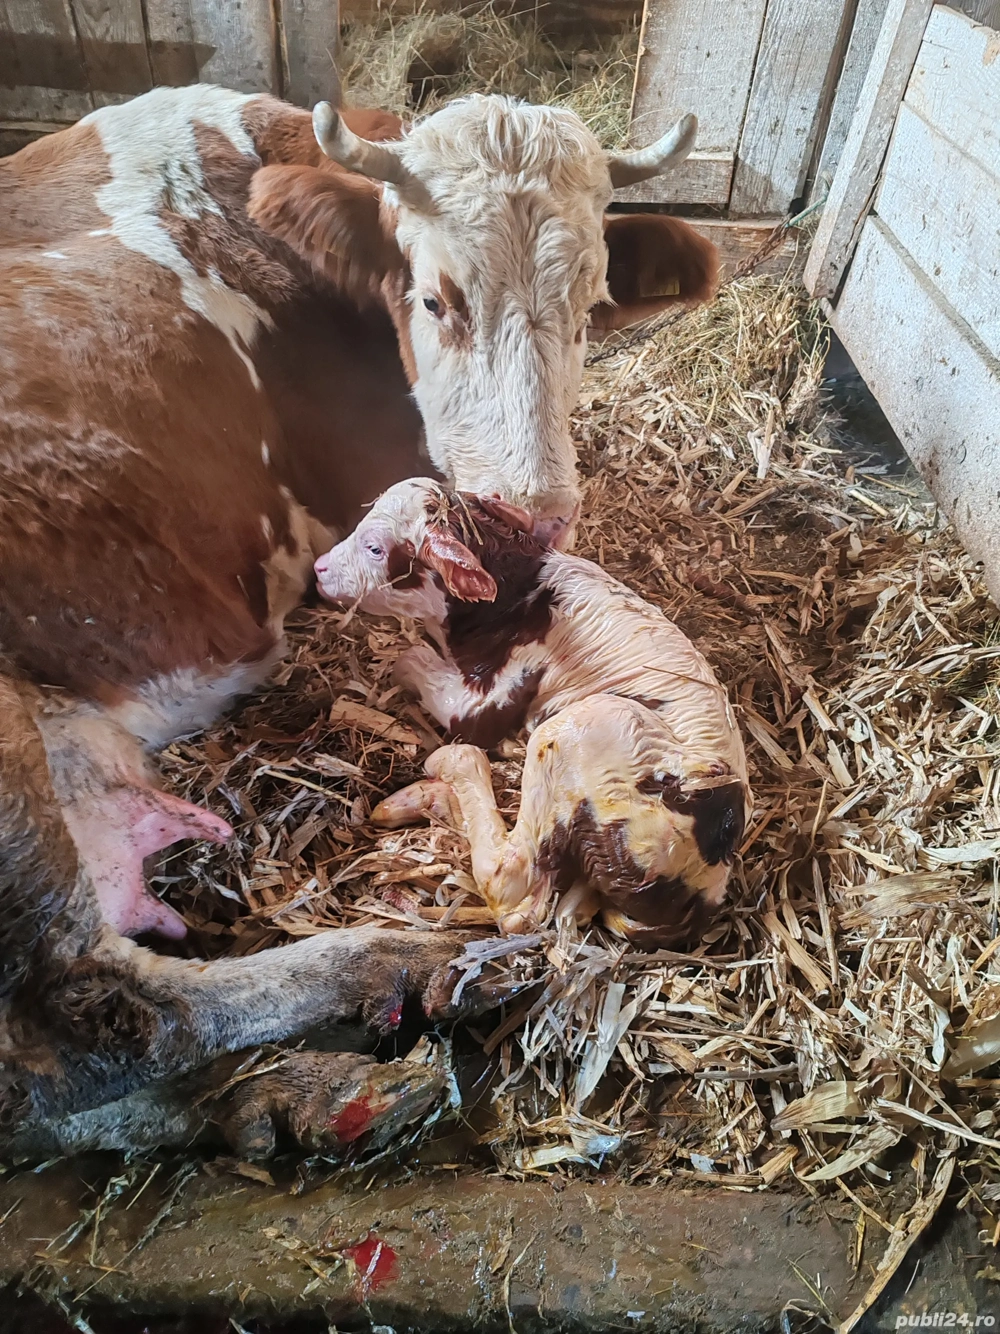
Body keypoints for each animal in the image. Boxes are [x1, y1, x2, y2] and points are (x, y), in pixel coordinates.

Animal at [314, 480, 751, 943]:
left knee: (513, 890)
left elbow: (411, 659)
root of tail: (701, 892)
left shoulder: (487, 700)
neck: (516, 594)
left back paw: (449, 769)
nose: (319, 568)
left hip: (587, 727)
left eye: (375, 547)